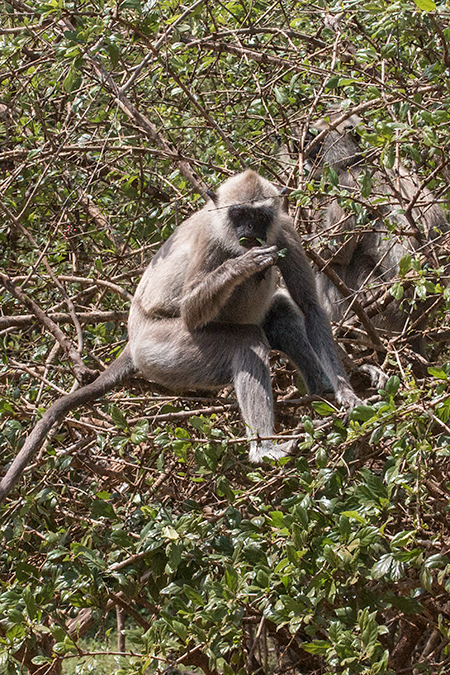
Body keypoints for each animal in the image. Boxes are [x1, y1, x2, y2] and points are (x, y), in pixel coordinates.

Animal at [0, 172, 358, 504]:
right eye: (239, 214)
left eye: (259, 216)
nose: (248, 233)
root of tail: (133, 339)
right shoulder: (210, 240)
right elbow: (191, 312)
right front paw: (242, 265)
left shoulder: (284, 231)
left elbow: (310, 307)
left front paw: (346, 393)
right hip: (164, 348)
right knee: (248, 339)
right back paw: (263, 449)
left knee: (281, 310)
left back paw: (320, 390)